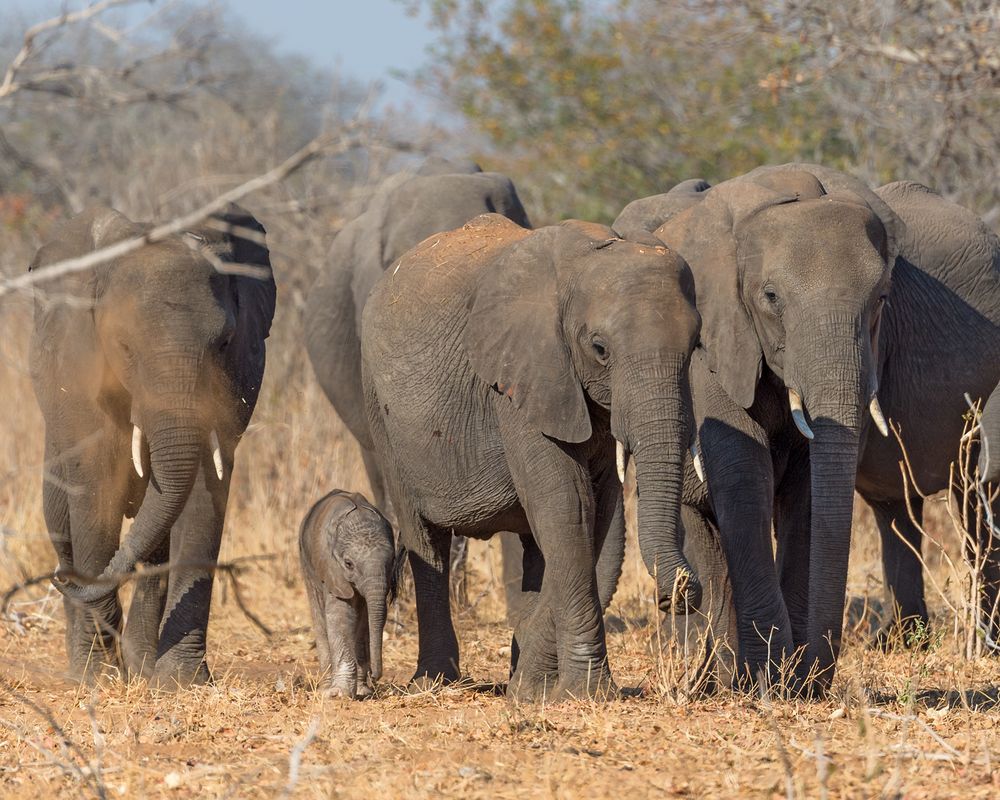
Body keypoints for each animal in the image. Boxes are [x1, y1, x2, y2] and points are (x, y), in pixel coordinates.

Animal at [29, 204, 276, 687]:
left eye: (223, 343)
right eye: (124, 347)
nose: (60, 579)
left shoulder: (240, 369)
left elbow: (203, 488)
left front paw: (182, 681)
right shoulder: (78, 357)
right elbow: (97, 482)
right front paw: (99, 678)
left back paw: (140, 664)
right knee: (63, 522)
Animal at [299, 490, 397, 698]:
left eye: (393, 560)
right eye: (348, 564)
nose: (376, 675)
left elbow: (365, 618)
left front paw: (361, 691)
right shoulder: (331, 567)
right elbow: (340, 615)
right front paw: (338, 694)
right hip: (306, 561)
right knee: (318, 613)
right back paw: (325, 687)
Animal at [360, 213, 702, 700]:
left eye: (695, 346)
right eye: (600, 349)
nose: (677, 596)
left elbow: (593, 513)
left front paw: (530, 691)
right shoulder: (522, 377)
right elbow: (568, 507)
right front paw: (584, 694)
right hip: (379, 408)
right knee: (426, 540)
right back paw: (437, 682)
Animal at [605, 164, 902, 694]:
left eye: (881, 298)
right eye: (771, 297)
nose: (813, 675)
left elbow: (808, 488)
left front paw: (793, 681)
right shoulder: (714, 340)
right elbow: (744, 472)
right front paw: (773, 674)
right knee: (706, 540)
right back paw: (720, 678)